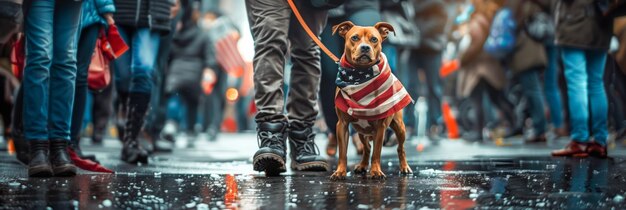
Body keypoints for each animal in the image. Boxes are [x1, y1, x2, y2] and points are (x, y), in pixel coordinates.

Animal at [330, 20, 412, 180]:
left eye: (374, 39)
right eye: (354, 38)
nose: (365, 47)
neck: (361, 76)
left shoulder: (381, 127)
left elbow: (377, 152)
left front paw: (376, 171)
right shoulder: (342, 125)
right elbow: (343, 152)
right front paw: (340, 171)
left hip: (399, 127)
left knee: (401, 148)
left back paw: (404, 167)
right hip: (362, 131)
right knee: (367, 148)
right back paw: (362, 166)